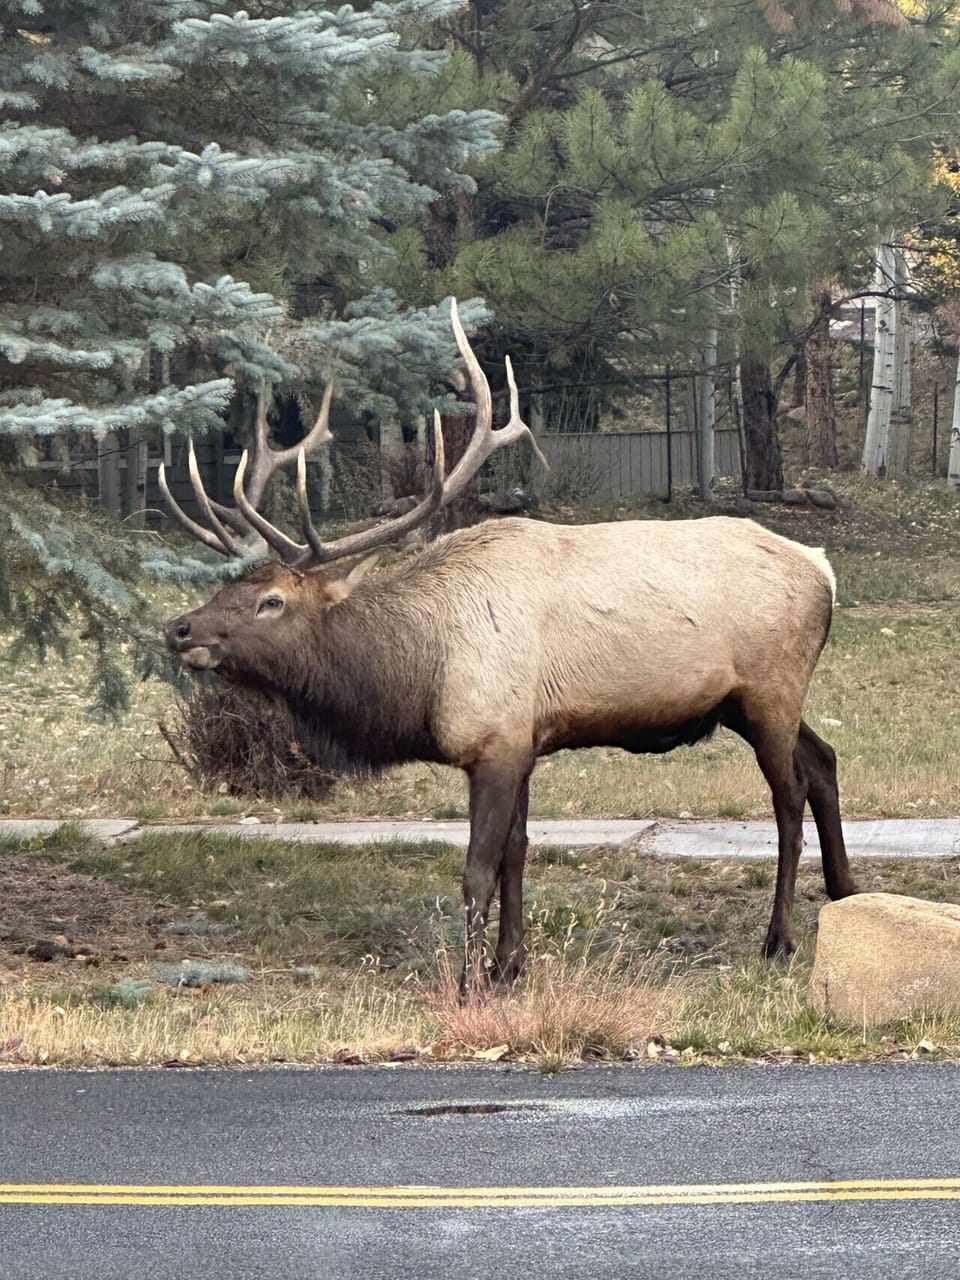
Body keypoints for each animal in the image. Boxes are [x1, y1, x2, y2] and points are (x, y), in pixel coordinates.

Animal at [162, 298, 857, 990]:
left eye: (272, 600)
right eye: (229, 584)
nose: (180, 628)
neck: (421, 673)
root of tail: (824, 570)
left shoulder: (492, 742)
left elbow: (478, 870)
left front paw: (470, 983)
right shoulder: (523, 738)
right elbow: (517, 855)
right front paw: (508, 965)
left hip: (770, 688)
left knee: (788, 795)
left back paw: (780, 938)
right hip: (747, 701)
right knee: (824, 759)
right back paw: (845, 891)